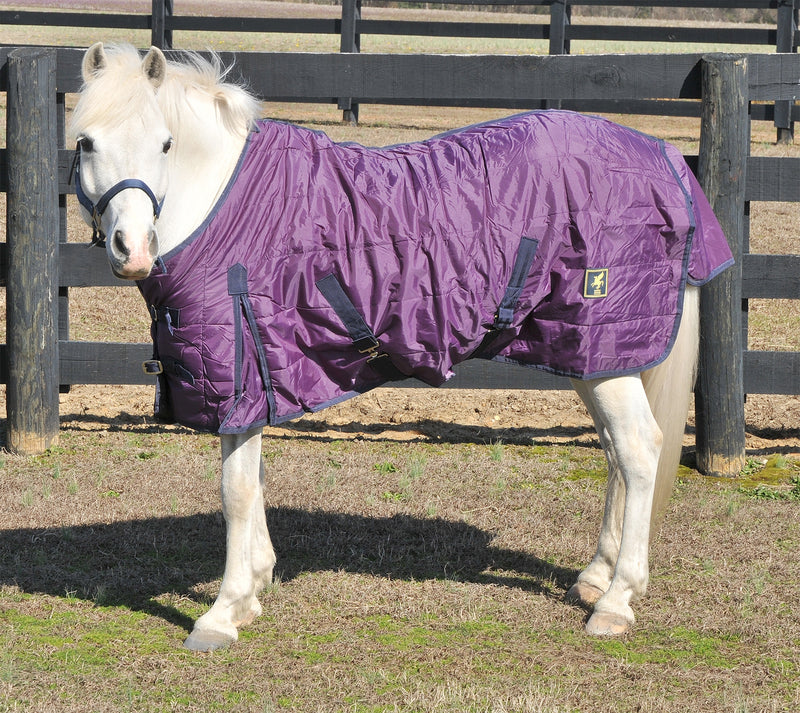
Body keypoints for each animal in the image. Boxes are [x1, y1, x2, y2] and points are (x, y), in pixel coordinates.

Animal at [69, 43, 733, 652]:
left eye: (165, 144)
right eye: (87, 143)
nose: (133, 250)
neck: (225, 207)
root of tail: (665, 158)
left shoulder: (242, 379)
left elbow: (235, 491)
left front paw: (223, 612)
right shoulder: (261, 382)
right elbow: (251, 484)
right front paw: (255, 587)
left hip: (604, 352)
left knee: (639, 451)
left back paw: (616, 602)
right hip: (593, 354)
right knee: (617, 454)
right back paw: (595, 577)